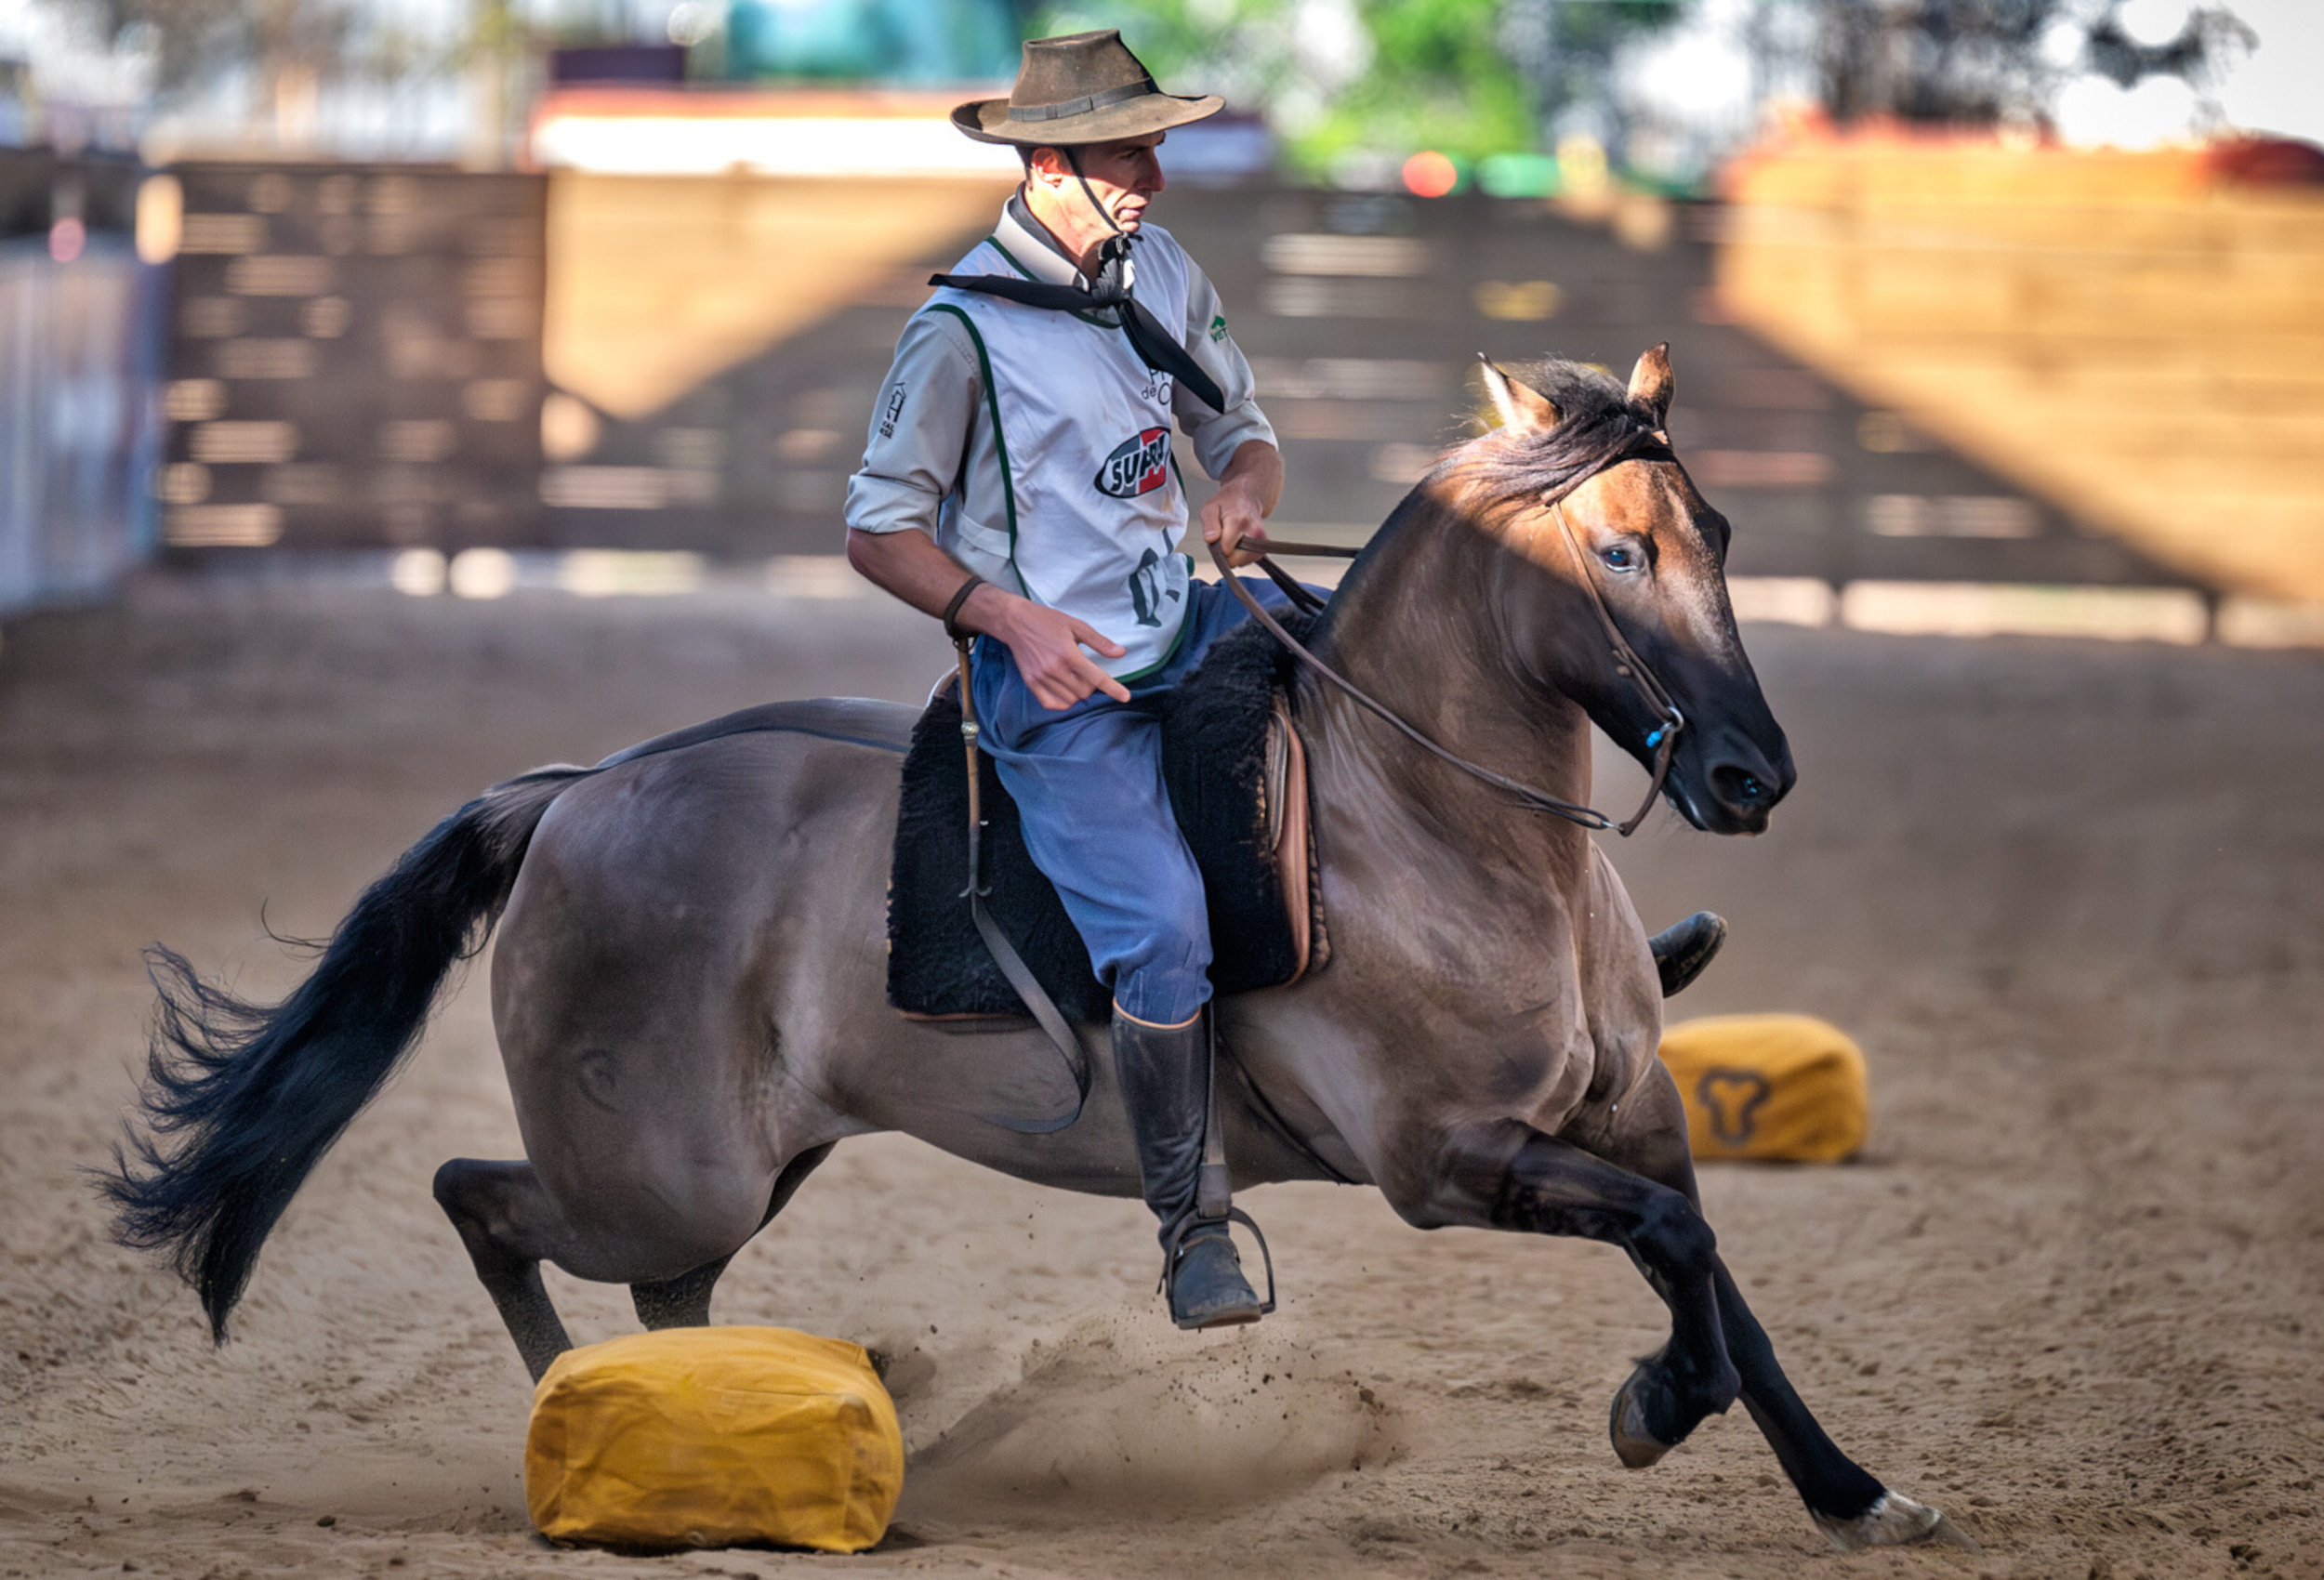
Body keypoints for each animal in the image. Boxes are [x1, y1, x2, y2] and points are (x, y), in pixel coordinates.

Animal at [99, 350, 1971, 1552]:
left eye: (1717, 535)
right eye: (1618, 547)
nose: (1750, 776)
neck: (1433, 823)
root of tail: (574, 796)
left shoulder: (1629, 1118)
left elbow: (1715, 1273)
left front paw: (1849, 1490)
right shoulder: (1450, 1161)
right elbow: (1679, 1256)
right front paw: (1654, 1410)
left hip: (731, 1177)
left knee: (654, 1289)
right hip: (656, 1173)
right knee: (482, 1205)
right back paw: (583, 1418)